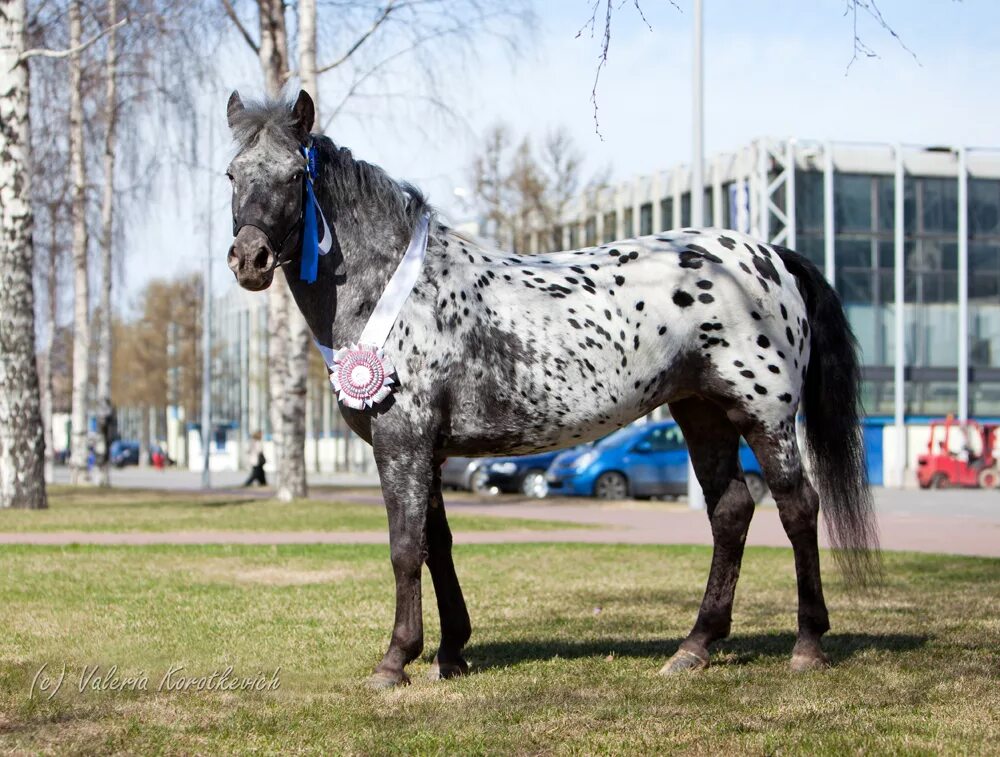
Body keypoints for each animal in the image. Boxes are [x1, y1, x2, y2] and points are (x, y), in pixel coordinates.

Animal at [225, 91, 876, 688]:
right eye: (232, 174)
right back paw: (693, 647)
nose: (249, 259)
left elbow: (406, 548)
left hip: (764, 416)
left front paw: (396, 660)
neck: (399, 290)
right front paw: (451, 653)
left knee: (797, 507)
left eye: (294, 176)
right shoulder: (428, 452)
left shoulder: (402, 443)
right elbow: (440, 544)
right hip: (701, 413)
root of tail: (772, 255)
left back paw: (807, 645)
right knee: (731, 511)